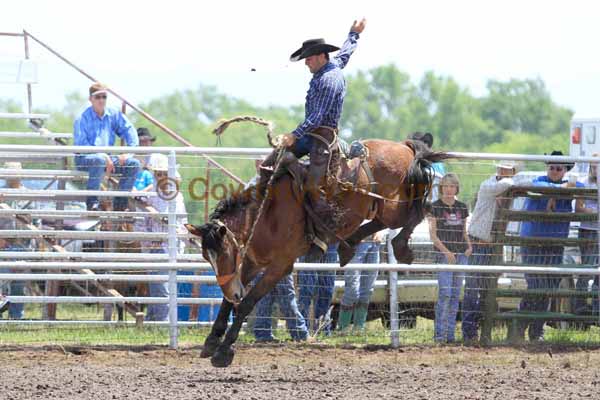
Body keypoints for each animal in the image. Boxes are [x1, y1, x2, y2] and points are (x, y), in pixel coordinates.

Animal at [186, 133, 446, 368]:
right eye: (206, 257)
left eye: (224, 252)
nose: (233, 291)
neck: (265, 216)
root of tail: (404, 146)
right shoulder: (251, 263)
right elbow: (228, 302)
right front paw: (211, 342)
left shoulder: (279, 266)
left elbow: (247, 302)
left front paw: (223, 352)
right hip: (379, 207)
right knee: (387, 220)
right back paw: (350, 245)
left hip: (392, 204)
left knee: (418, 211)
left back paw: (400, 247)